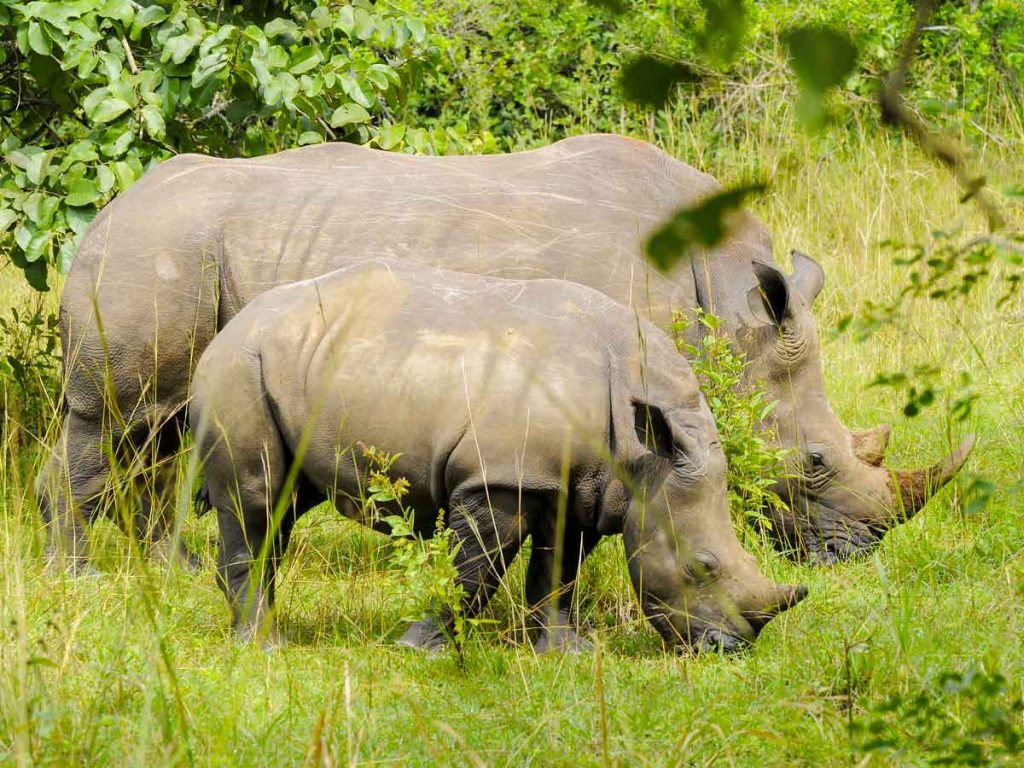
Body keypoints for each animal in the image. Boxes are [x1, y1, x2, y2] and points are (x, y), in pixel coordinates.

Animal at [39, 133, 972, 570]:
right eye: (814, 461)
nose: (857, 556)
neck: (726, 306)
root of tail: (107, 206)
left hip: (179, 252)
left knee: (155, 433)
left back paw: (168, 569)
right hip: (150, 252)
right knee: (109, 423)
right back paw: (80, 578)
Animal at [189, 260, 808, 652]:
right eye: (701, 567)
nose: (729, 649)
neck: (644, 454)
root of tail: (226, 330)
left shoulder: (576, 484)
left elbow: (558, 571)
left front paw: (563, 652)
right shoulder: (504, 477)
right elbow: (475, 568)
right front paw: (421, 647)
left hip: (293, 365)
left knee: (284, 504)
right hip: (239, 367)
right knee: (257, 496)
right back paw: (263, 646)